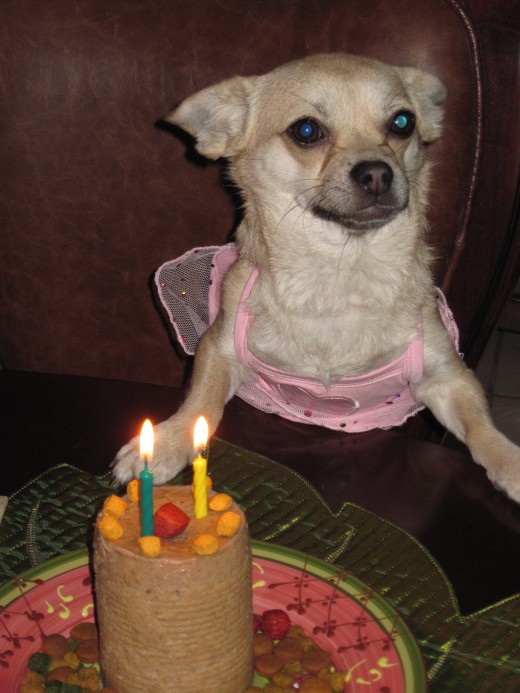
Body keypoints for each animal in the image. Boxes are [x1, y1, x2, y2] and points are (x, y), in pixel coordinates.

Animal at [112, 51, 520, 500]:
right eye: (306, 131)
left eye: (403, 123)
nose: (378, 172)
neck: (340, 272)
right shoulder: (218, 350)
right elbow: (201, 400)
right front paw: (167, 441)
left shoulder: (448, 379)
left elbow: (481, 426)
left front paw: (511, 462)